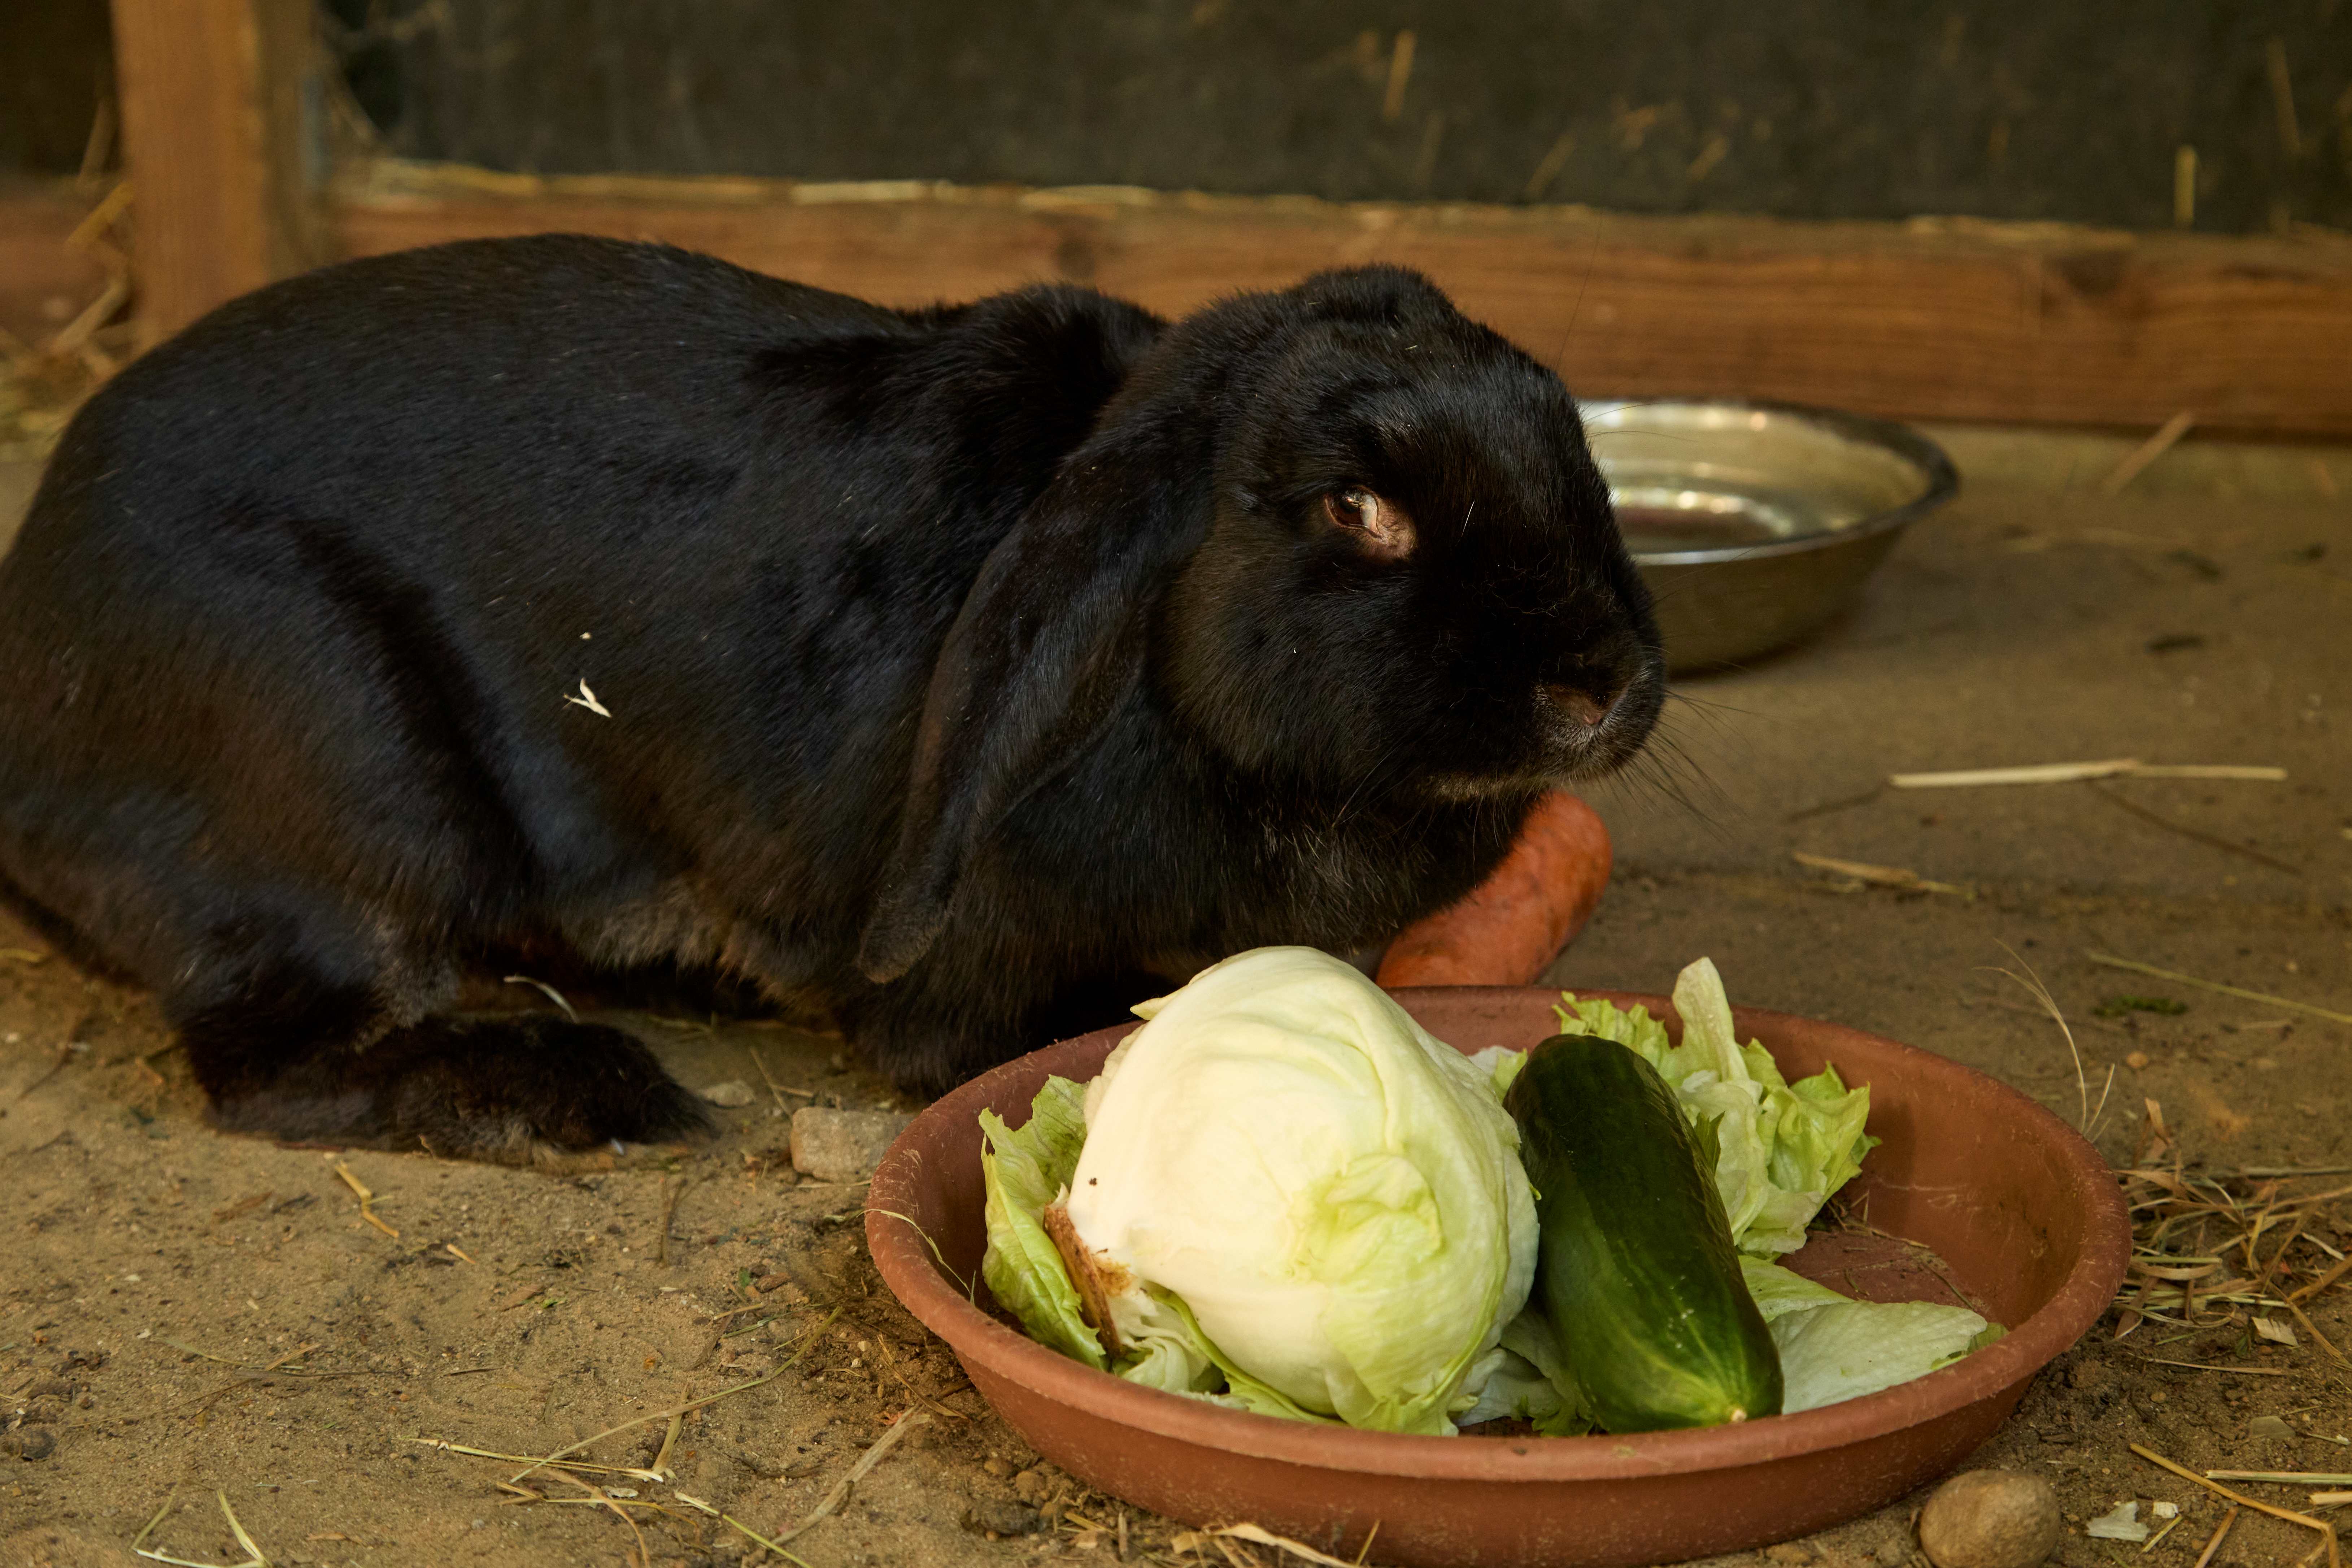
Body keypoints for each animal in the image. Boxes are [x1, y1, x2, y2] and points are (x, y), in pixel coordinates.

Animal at [0, 235, 1664, 1164]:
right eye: (1355, 510)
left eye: (1575, 445)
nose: (1600, 682)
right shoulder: (973, 978)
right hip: (342, 774)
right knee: (272, 1061)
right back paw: (590, 1098)